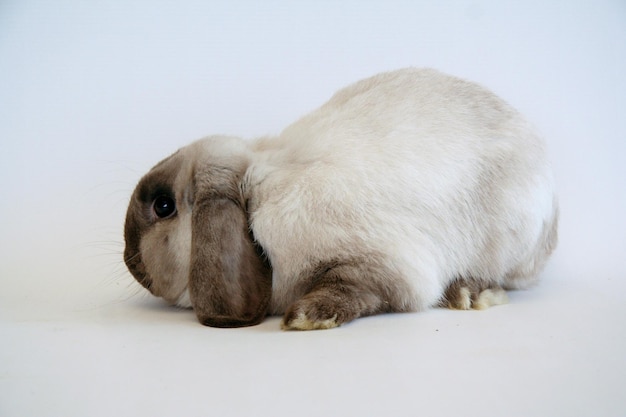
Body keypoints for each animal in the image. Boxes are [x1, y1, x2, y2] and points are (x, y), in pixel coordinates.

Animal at [122, 67, 556, 328]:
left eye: (163, 206)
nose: (129, 260)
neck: (253, 200)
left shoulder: (384, 265)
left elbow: (353, 288)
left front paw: (306, 317)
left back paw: (470, 294)